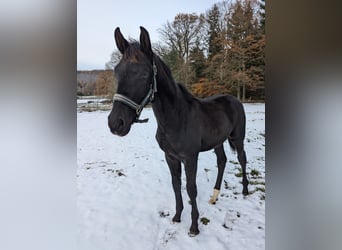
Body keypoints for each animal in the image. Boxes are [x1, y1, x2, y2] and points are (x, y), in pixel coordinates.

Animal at [108, 27, 247, 236]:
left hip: (237, 138)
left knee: (242, 159)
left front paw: (194, 227)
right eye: (117, 72)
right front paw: (176, 217)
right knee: (222, 161)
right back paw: (214, 196)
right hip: (218, 141)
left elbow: (191, 188)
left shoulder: (190, 157)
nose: (116, 123)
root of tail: (234, 99)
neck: (176, 118)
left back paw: (245, 191)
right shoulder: (171, 157)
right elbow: (176, 185)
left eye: (144, 74)